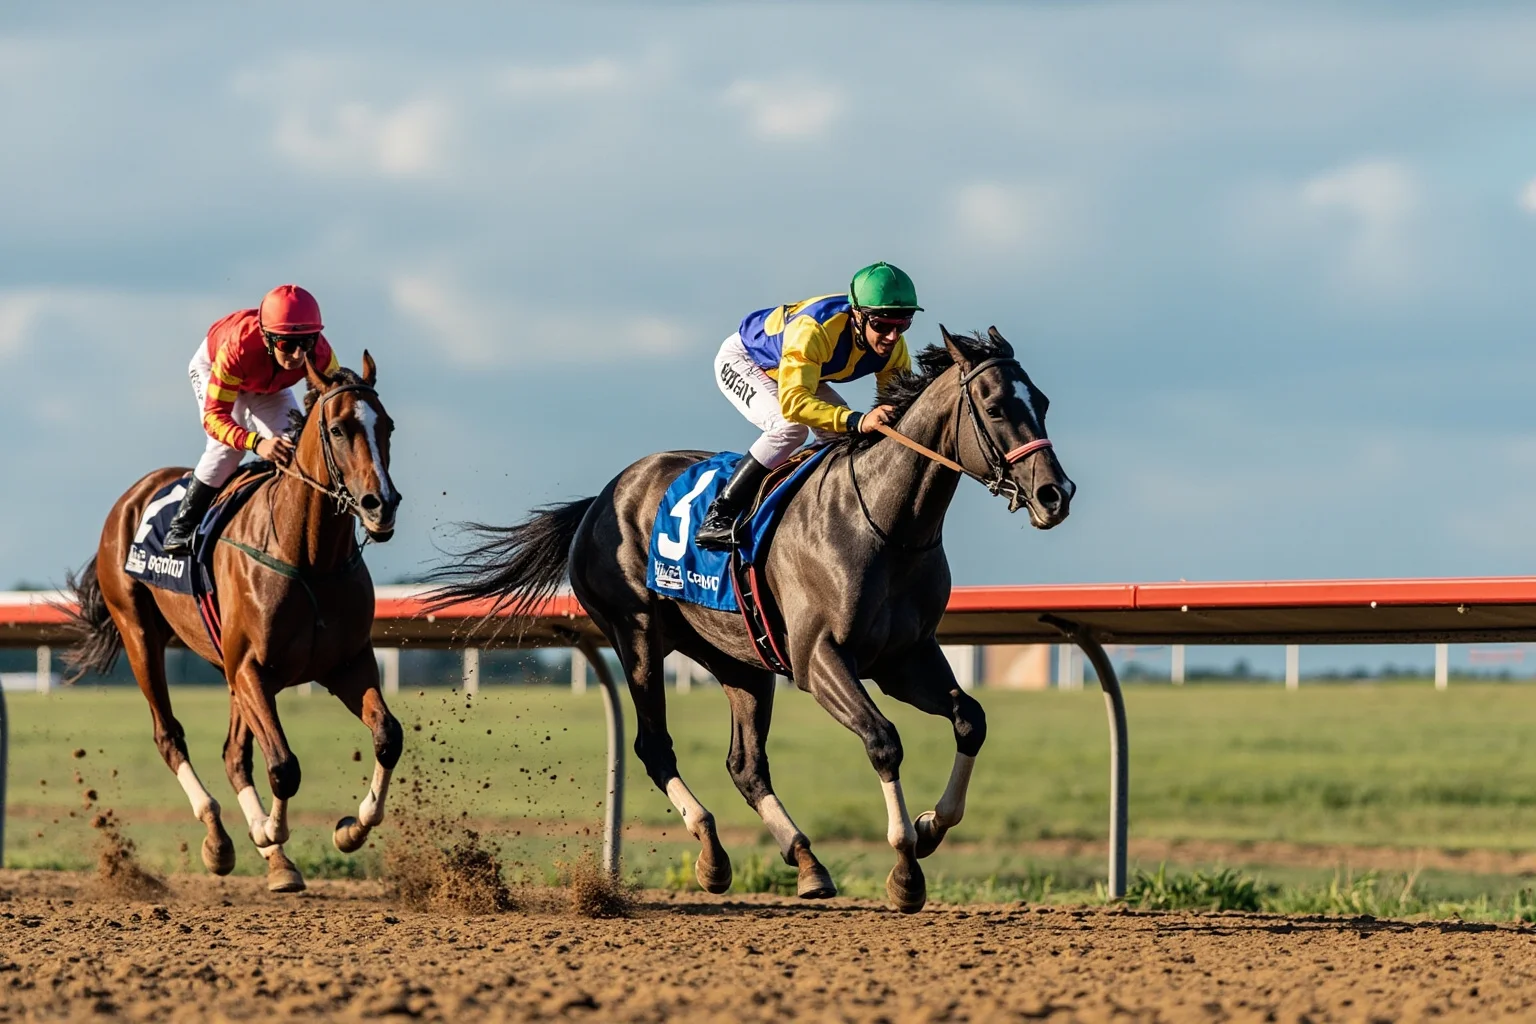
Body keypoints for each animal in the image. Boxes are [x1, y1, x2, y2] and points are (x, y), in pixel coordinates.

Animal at [61, 353, 403, 892]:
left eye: (386, 425)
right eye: (338, 429)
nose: (381, 504)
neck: (308, 555)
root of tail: (134, 495)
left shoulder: (344, 664)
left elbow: (387, 736)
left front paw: (351, 828)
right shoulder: (250, 667)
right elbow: (284, 766)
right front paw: (268, 832)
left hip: (230, 667)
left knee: (233, 754)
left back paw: (275, 860)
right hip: (140, 635)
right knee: (170, 736)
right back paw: (220, 840)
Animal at [429, 327, 1074, 912]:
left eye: (1042, 401)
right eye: (995, 406)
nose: (1055, 494)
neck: (883, 524)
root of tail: (601, 499)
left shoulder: (904, 657)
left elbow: (970, 720)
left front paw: (931, 825)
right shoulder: (820, 660)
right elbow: (883, 741)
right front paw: (905, 868)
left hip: (741, 659)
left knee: (745, 765)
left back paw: (806, 862)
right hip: (637, 634)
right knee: (654, 745)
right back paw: (712, 854)